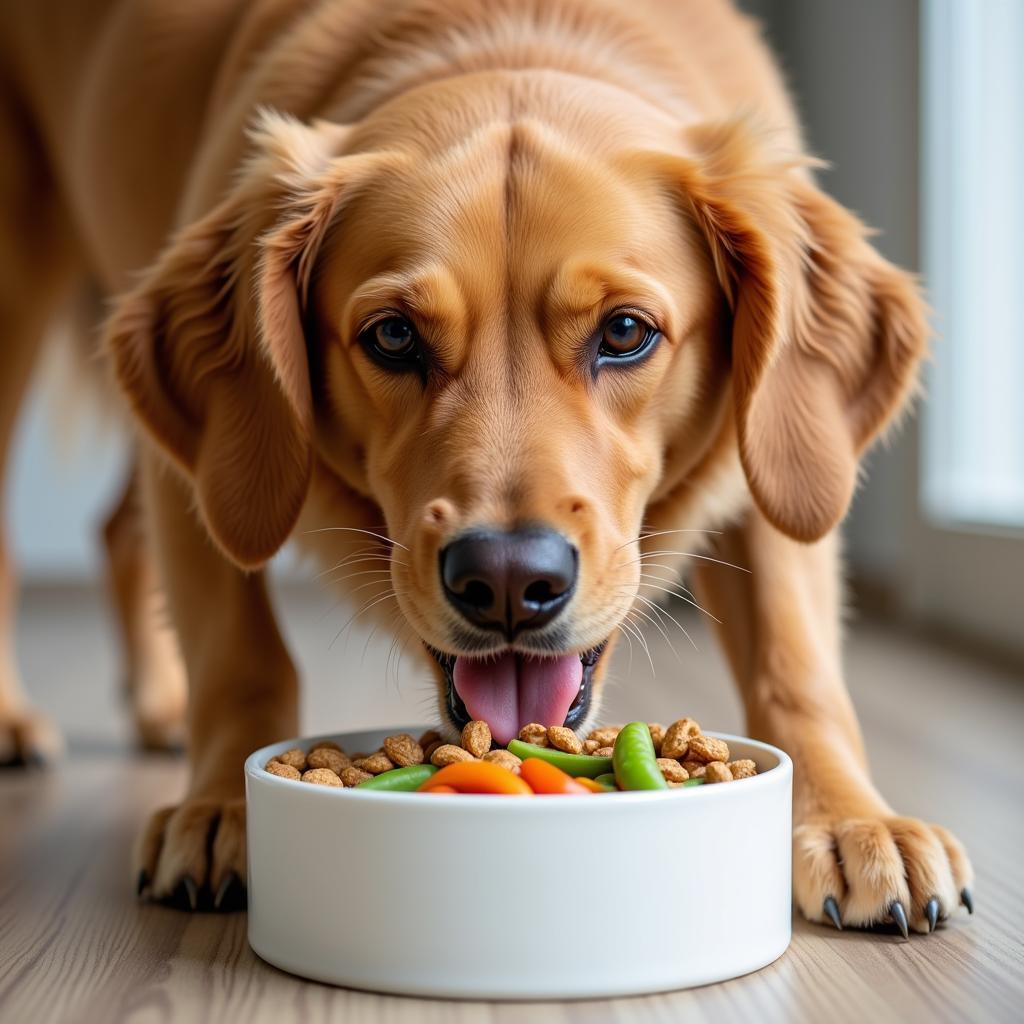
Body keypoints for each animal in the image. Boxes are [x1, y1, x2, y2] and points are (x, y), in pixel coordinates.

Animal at [0, 0, 970, 929]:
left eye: (626, 331)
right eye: (393, 336)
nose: (507, 581)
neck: (510, 30)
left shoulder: (781, 445)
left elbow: (795, 662)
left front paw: (850, 821)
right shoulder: (208, 468)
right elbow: (241, 656)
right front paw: (222, 810)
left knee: (115, 530)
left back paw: (158, 706)